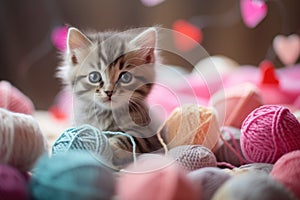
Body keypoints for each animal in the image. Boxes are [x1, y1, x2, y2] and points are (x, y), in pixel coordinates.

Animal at [57, 26, 163, 167]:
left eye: (125, 77)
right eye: (94, 76)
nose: (109, 92)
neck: (106, 115)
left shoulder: (150, 134)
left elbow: (130, 138)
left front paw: (111, 148)